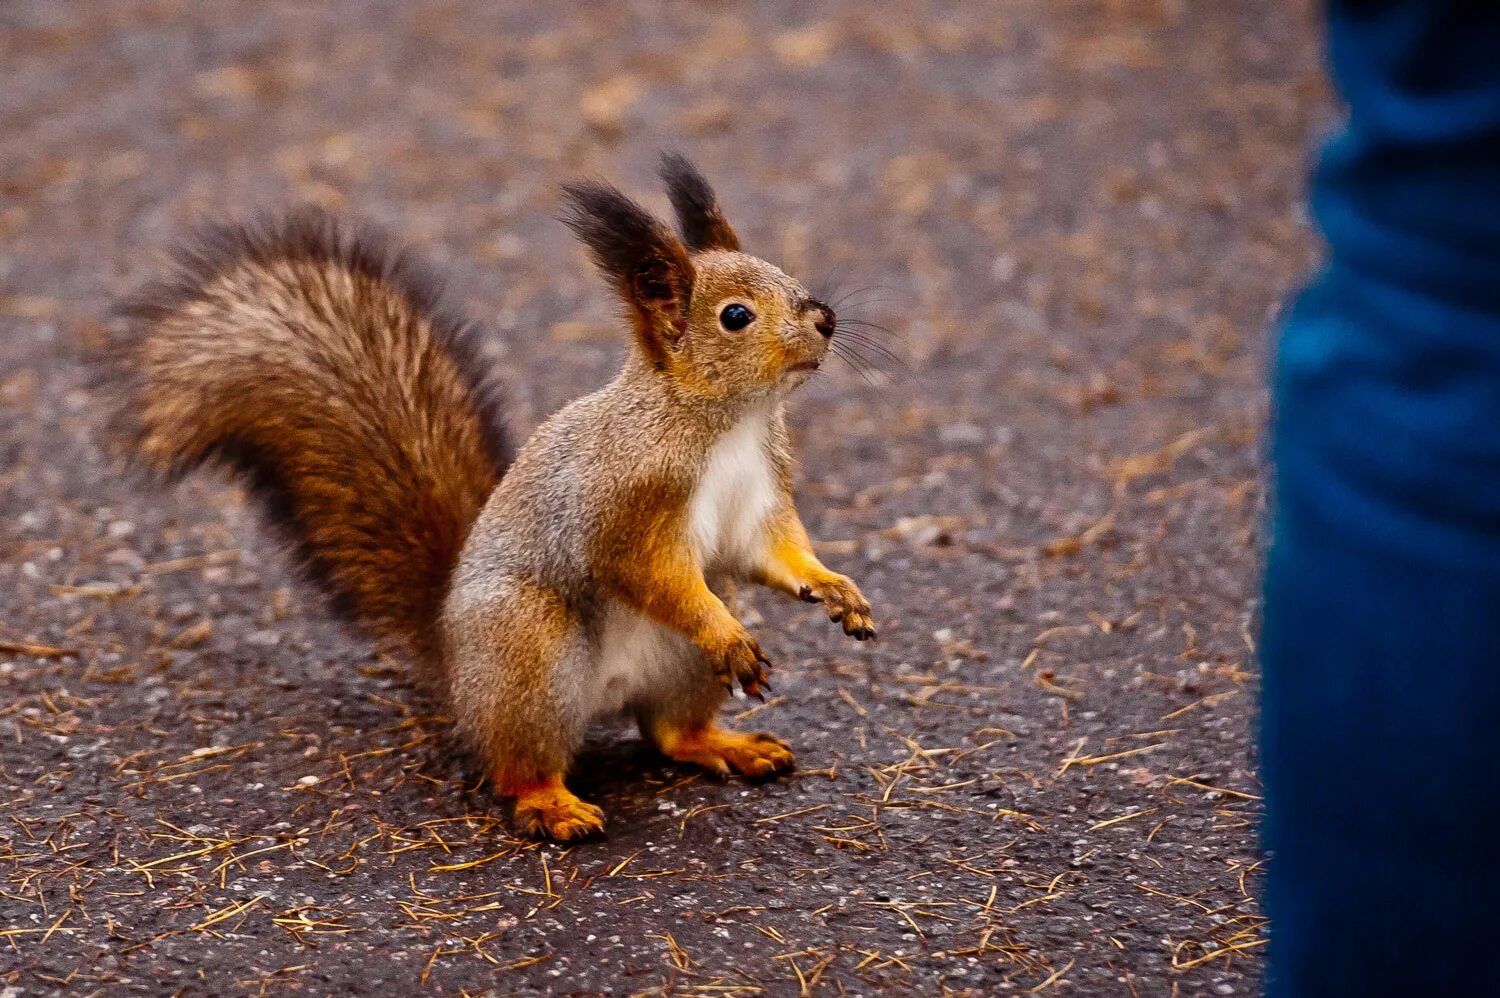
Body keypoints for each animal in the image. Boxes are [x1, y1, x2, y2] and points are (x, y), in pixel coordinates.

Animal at [114, 153, 876, 840]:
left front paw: (836, 588)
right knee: (518, 765)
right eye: (736, 316)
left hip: (676, 666)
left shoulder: (760, 492)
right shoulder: (622, 496)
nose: (827, 318)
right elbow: (644, 570)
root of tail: (456, 669)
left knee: (667, 733)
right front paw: (726, 631)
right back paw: (553, 805)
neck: (729, 420)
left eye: (784, 274)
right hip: (524, 650)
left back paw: (725, 745)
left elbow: (769, 552)